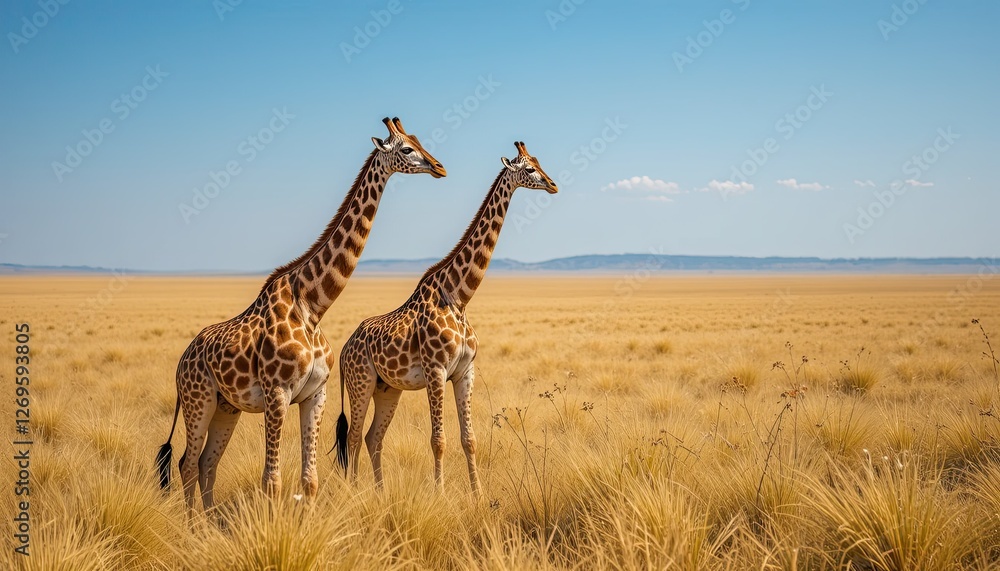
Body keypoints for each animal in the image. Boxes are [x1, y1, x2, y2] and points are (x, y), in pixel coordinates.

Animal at [156, 117, 446, 515]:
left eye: (419, 140)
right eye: (406, 148)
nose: (439, 167)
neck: (312, 307)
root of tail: (181, 361)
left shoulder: (315, 394)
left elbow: (309, 480)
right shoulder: (277, 393)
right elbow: (272, 481)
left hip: (226, 407)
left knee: (205, 464)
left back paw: (210, 523)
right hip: (198, 399)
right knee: (187, 463)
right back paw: (194, 526)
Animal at [333, 141, 557, 494]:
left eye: (539, 161)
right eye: (530, 168)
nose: (553, 184)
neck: (459, 298)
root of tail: (344, 348)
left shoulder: (465, 371)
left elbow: (469, 439)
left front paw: (478, 494)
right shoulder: (436, 370)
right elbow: (438, 440)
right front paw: (439, 494)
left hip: (388, 388)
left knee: (372, 437)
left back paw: (379, 492)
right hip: (361, 381)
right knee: (353, 437)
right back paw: (355, 492)